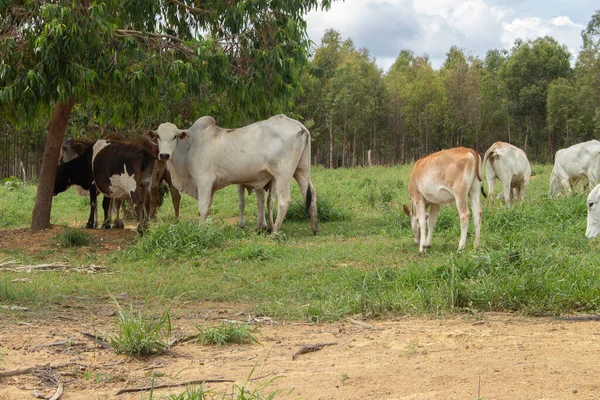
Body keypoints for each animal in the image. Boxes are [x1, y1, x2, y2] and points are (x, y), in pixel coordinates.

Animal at [148, 114, 318, 234]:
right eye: (158, 136)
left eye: (174, 136)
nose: (164, 155)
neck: (190, 145)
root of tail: (300, 126)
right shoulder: (211, 187)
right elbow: (208, 208)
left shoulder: (204, 181)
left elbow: (202, 208)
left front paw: (200, 230)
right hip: (302, 170)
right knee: (311, 193)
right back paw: (314, 228)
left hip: (283, 175)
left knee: (284, 201)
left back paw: (275, 230)